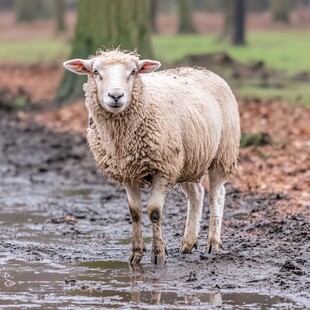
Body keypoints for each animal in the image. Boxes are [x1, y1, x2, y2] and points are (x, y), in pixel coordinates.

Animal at [63, 48, 241, 264]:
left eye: (133, 72)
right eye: (95, 72)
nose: (116, 95)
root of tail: (204, 70)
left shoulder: (163, 169)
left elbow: (154, 212)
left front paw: (159, 254)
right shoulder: (128, 172)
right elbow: (135, 213)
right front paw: (136, 253)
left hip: (222, 154)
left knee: (217, 195)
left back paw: (213, 243)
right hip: (189, 159)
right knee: (197, 193)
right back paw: (188, 243)